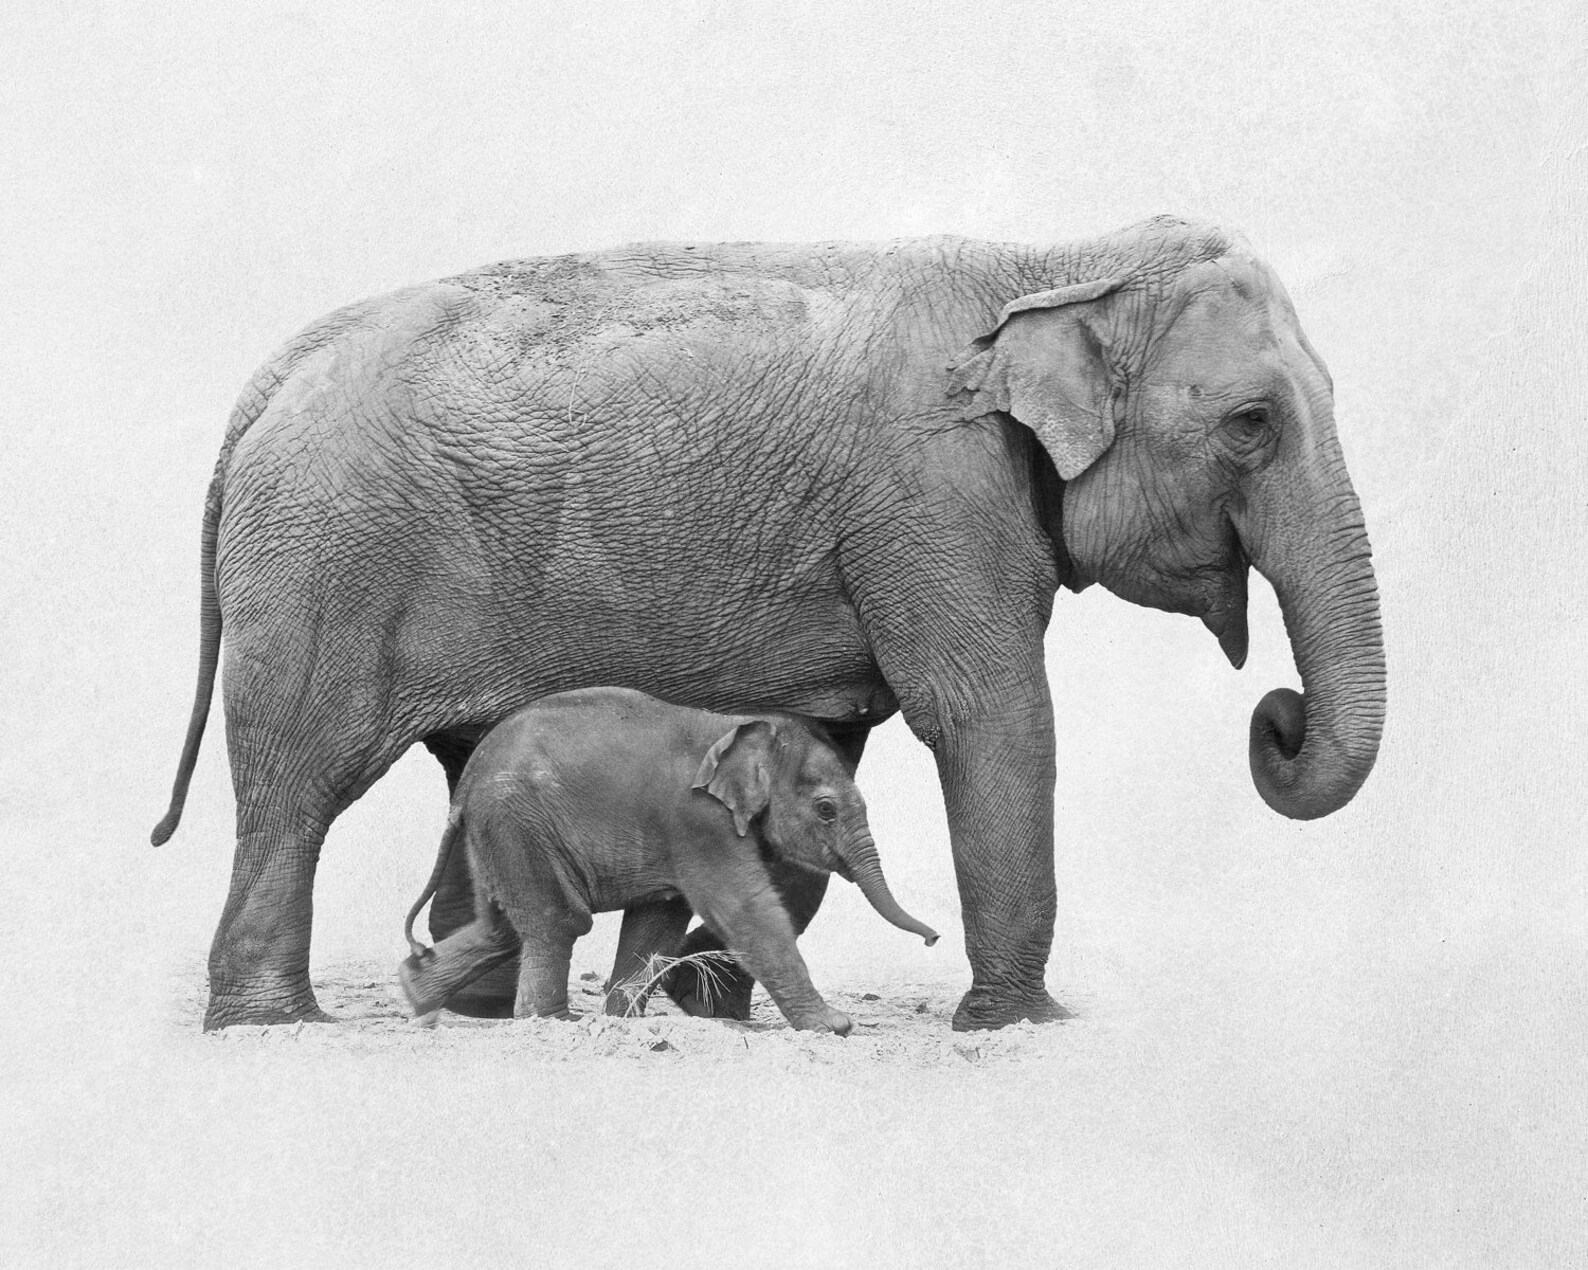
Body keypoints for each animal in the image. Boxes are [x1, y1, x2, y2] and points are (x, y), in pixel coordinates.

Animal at [396, 687, 938, 1033]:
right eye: (826, 810)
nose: (934, 939)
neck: (741, 727)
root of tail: (467, 782)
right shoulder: (697, 821)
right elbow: (744, 909)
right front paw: (835, 1027)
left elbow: (658, 921)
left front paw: (620, 1022)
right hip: (517, 820)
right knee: (558, 921)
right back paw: (550, 1023)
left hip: (499, 831)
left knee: (504, 926)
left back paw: (416, 995)